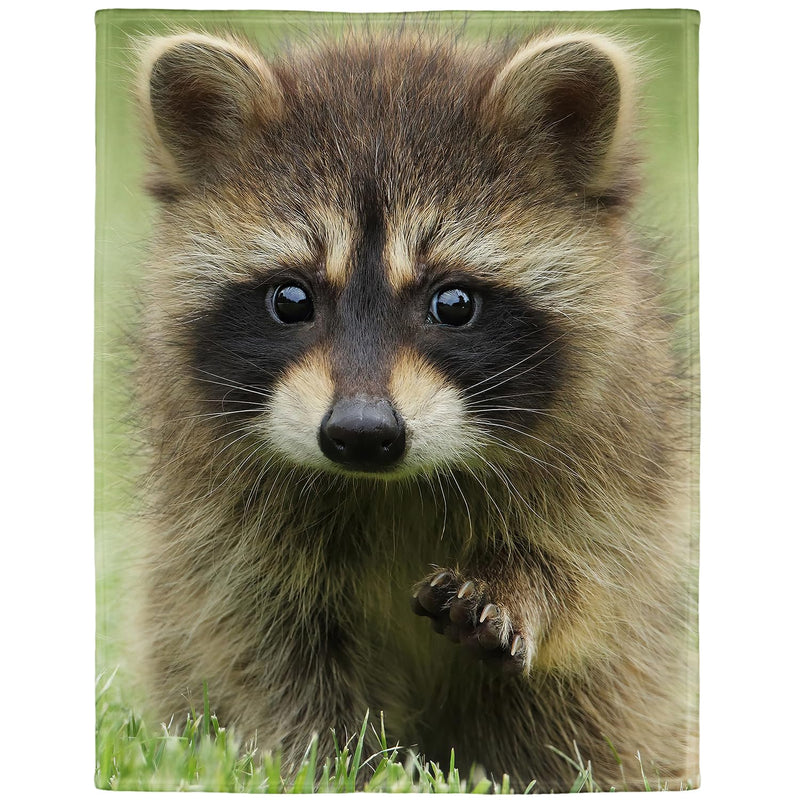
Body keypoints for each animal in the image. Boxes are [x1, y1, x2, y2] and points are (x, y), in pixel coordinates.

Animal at [132, 26, 697, 792]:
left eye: (452, 303)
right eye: (291, 299)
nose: (361, 434)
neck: (390, 485)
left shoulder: (619, 442)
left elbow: (596, 575)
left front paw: (523, 584)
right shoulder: (219, 515)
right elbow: (267, 641)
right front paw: (335, 764)